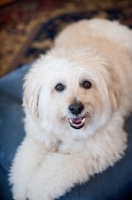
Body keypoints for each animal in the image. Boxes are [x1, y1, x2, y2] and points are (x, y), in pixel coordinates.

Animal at [9, 18, 132, 200]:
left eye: (87, 84)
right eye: (59, 87)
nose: (76, 108)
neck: (67, 132)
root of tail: (99, 20)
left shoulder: (99, 150)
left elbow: (54, 170)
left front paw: (36, 190)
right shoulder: (39, 137)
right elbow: (25, 163)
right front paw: (21, 188)